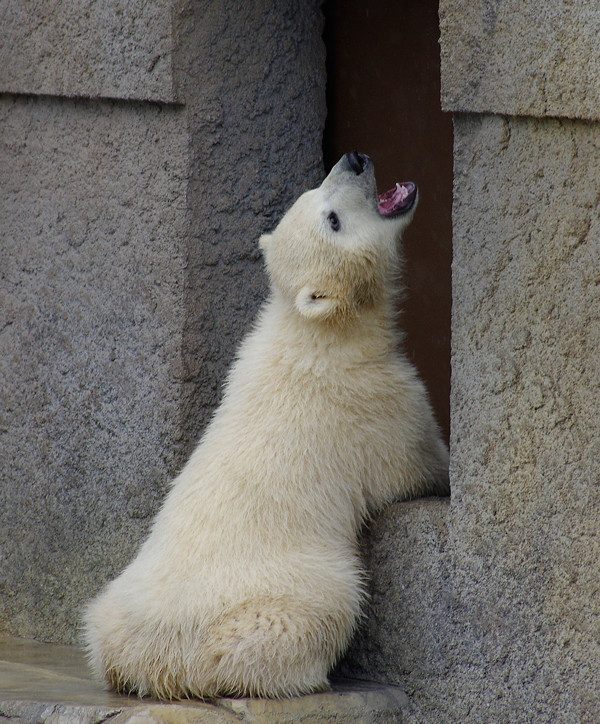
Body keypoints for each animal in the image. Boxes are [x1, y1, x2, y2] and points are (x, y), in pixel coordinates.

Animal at [84, 151, 450, 700]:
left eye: (316, 189)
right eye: (331, 219)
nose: (355, 159)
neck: (319, 331)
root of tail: (150, 659)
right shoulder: (375, 404)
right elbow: (417, 464)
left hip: (111, 609)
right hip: (280, 594)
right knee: (321, 608)